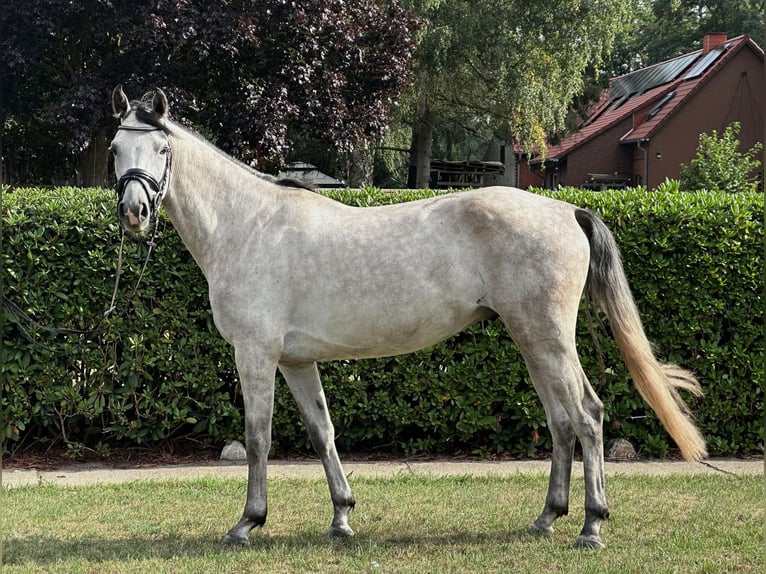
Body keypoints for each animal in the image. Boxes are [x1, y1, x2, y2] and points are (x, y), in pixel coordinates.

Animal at [109, 85, 706, 549]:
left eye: (161, 147)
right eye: (116, 148)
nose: (134, 212)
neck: (247, 223)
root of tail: (568, 209)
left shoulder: (255, 353)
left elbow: (259, 437)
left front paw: (247, 524)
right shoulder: (296, 361)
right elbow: (322, 432)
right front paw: (342, 517)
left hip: (548, 338)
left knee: (587, 414)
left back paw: (591, 526)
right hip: (530, 339)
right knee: (561, 421)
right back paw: (547, 518)